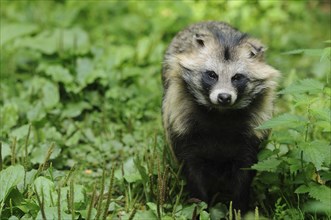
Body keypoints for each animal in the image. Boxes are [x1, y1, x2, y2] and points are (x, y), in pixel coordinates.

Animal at [162, 21, 278, 212]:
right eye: (212, 75)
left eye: (237, 77)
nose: (224, 97)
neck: (220, 114)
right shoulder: (182, 125)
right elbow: (191, 168)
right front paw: (200, 206)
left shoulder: (253, 131)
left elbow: (245, 170)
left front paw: (239, 208)